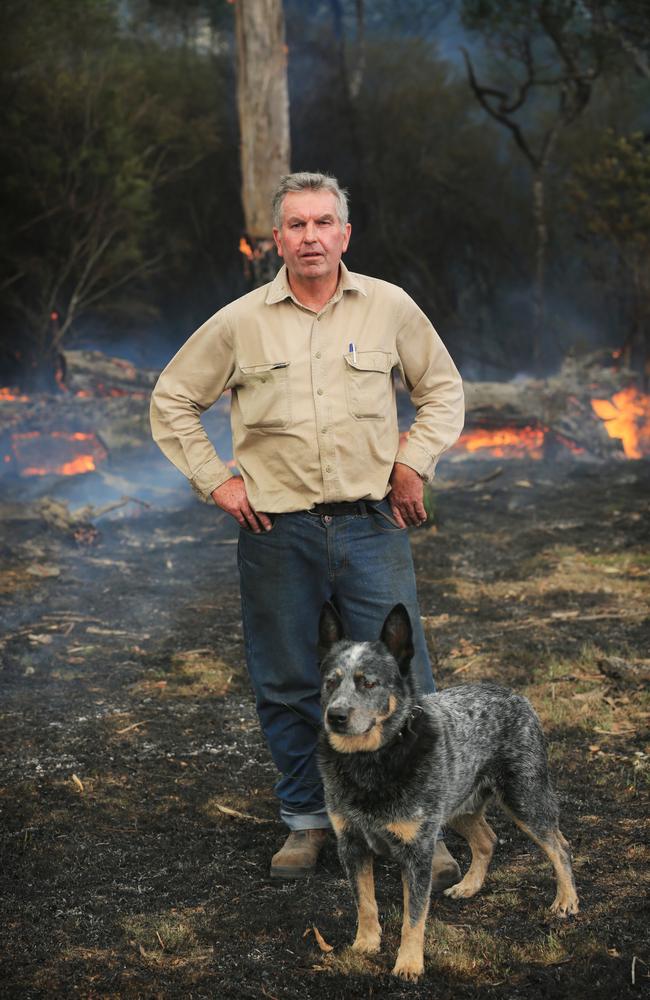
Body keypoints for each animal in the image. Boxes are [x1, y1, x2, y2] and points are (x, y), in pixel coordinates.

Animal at [316, 600, 576, 976]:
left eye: (368, 683)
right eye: (330, 682)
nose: (335, 716)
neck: (372, 762)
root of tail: (516, 694)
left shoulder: (418, 851)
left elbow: (413, 916)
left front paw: (409, 963)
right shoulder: (351, 843)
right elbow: (364, 902)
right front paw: (365, 944)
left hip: (525, 797)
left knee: (560, 845)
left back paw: (567, 900)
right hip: (457, 804)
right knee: (487, 840)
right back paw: (468, 886)